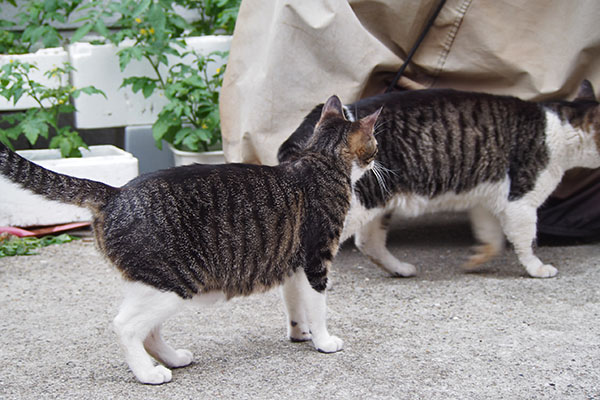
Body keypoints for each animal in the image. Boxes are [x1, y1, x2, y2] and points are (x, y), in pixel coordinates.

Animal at [0, 94, 380, 384]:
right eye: (375, 144)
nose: (377, 161)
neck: (320, 161)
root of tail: (115, 192)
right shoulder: (317, 259)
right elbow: (317, 306)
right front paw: (324, 341)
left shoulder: (294, 263)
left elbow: (296, 304)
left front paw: (301, 334)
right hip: (171, 283)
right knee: (126, 327)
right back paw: (148, 374)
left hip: (154, 286)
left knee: (149, 332)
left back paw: (172, 359)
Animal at [280, 80, 600, 278]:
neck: (560, 126)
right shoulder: (520, 202)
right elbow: (526, 241)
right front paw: (537, 268)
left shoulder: (486, 198)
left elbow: (492, 238)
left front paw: (477, 260)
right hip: (358, 205)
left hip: (378, 202)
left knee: (368, 242)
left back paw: (399, 269)